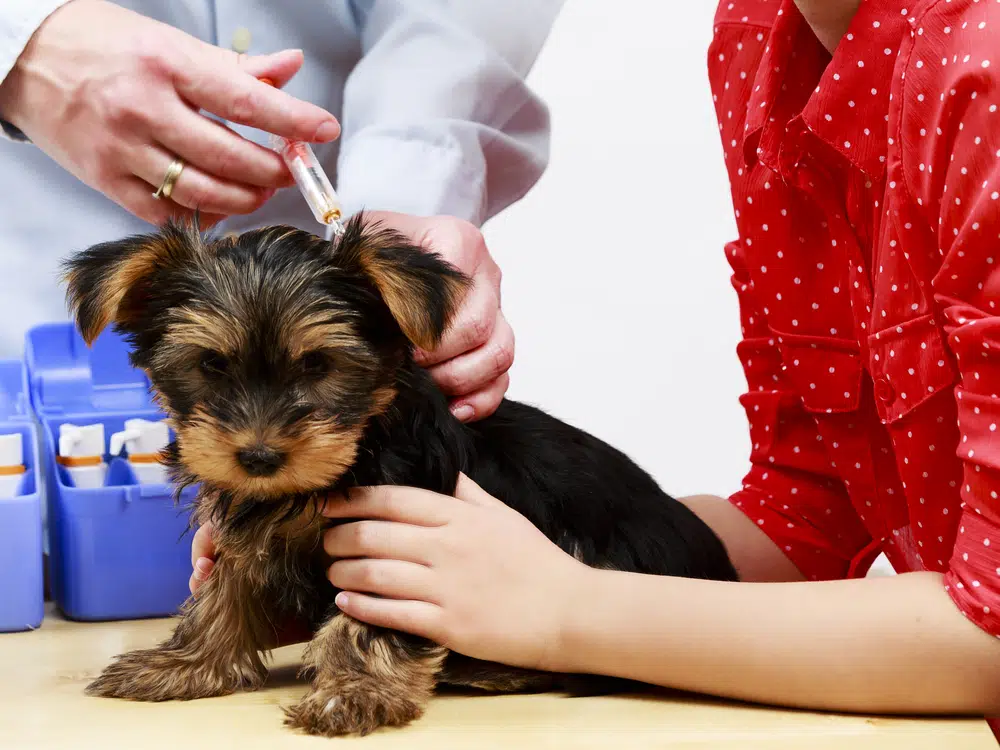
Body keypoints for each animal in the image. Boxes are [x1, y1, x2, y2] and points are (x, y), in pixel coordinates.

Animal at [60, 214, 736, 736]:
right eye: (210, 365)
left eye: (319, 365)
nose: (259, 457)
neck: (352, 452)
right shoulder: (251, 526)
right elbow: (222, 589)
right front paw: (184, 662)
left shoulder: (394, 540)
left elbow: (368, 619)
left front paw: (354, 692)